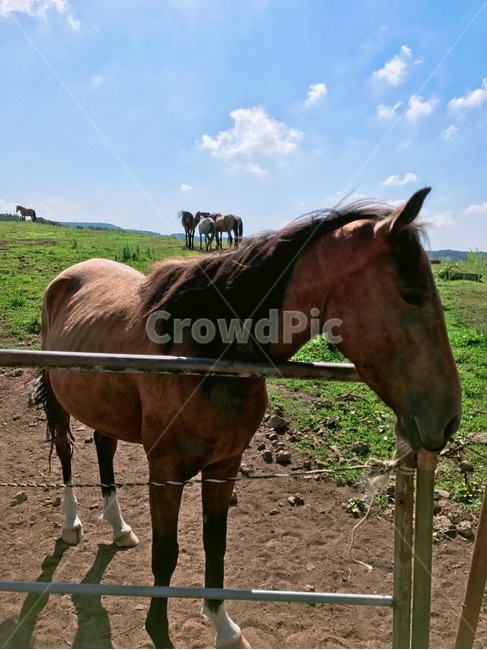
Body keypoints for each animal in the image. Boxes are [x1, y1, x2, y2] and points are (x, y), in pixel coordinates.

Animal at [30, 188, 461, 649]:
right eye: (413, 294)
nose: (450, 419)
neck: (204, 355)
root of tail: (66, 277)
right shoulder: (165, 472)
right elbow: (166, 555)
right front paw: (159, 630)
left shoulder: (224, 466)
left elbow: (214, 546)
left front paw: (223, 626)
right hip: (59, 400)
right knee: (65, 451)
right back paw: (71, 523)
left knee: (103, 447)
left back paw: (118, 526)